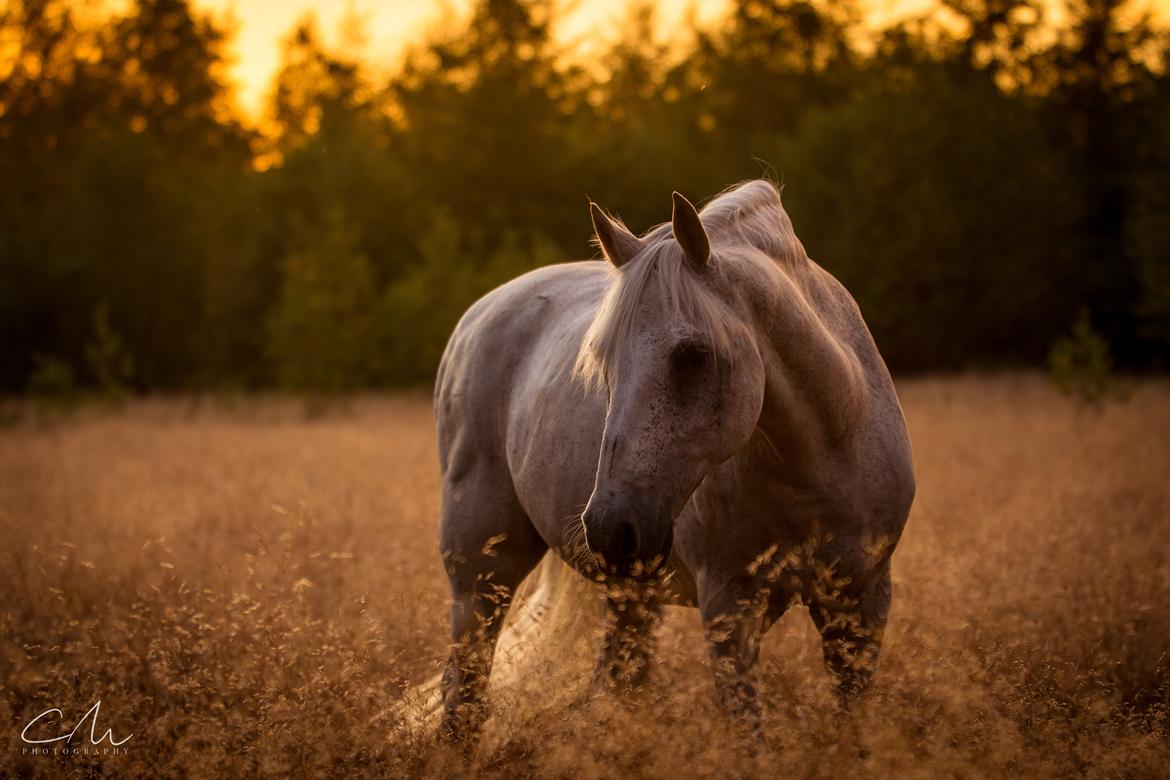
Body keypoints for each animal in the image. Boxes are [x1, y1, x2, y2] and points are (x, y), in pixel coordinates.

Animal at [430, 180, 912, 743]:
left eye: (693, 355)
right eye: (602, 360)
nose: (609, 526)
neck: (821, 458)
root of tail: (478, 314)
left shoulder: (862, 605)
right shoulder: (729, 611)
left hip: (627, 595)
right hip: (482, 575)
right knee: (464, 689)